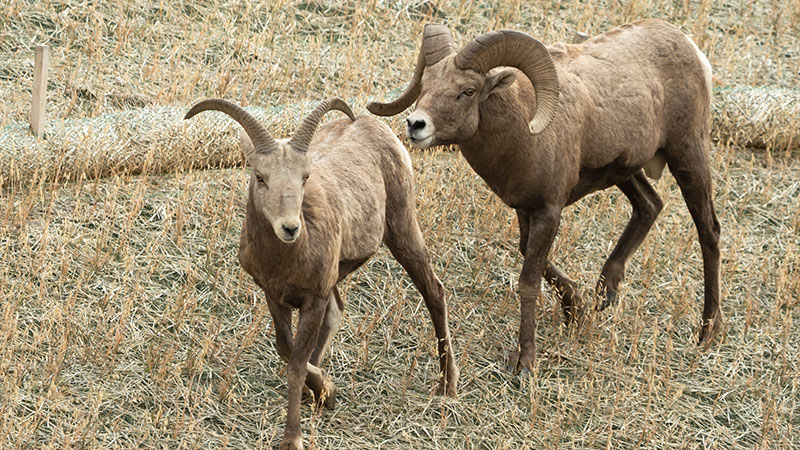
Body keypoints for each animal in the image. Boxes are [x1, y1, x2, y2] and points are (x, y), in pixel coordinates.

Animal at [182, 98, 456, 450]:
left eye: (305, 177)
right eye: (260, 176)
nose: (289, 228)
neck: (287, 257)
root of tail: (374, 126)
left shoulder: (313, 299)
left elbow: (297, 364)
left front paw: (293, 439)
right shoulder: (276, 296)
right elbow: (287, 350)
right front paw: (327, 392)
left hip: (402, 232)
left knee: (433, 291)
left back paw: (447, 388)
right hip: (340, 272)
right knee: (337, 312)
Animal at [372, 18, 720, 372]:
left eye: (468, 91)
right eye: (425, 84)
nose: (416, 125)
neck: (522, 134)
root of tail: (689, 45)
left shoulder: (549, 211)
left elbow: (529, 281)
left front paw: (525, 361)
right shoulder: (525, 209)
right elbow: (530, 255)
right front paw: (576, 312)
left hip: (687, 155)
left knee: (709, 231)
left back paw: (707, 332)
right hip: (626, 172)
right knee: (650, 206)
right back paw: (605, 293)